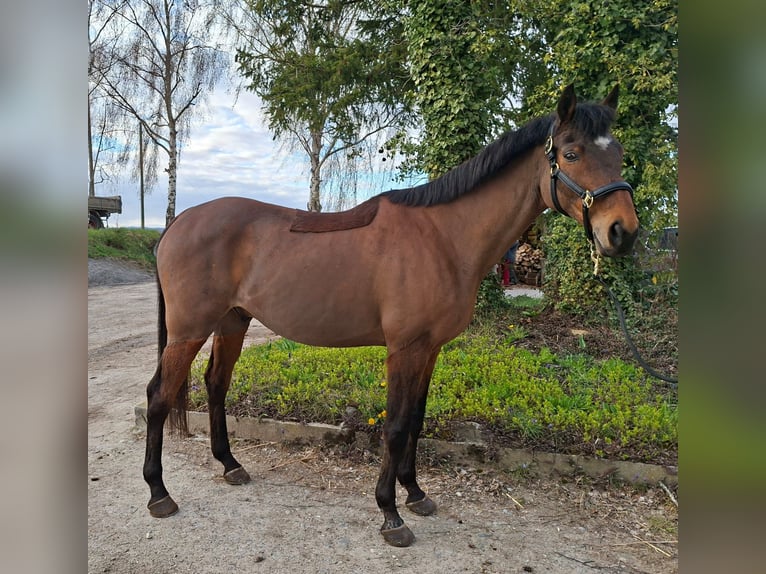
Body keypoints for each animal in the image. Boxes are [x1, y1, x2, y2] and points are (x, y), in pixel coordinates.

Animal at [142, 84, 639, 547]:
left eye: (618, 153)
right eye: (571, 153)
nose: (623, 232)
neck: (442, 237)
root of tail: (179, 221)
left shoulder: (430, 349)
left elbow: (416, 420)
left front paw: (415, 493)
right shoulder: (404, 349)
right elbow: (396, 425)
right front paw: (390, 513)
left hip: (233, 321)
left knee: (216, 385)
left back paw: (230, 465)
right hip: (189, 331)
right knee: (159, 397)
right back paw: (159, 493)